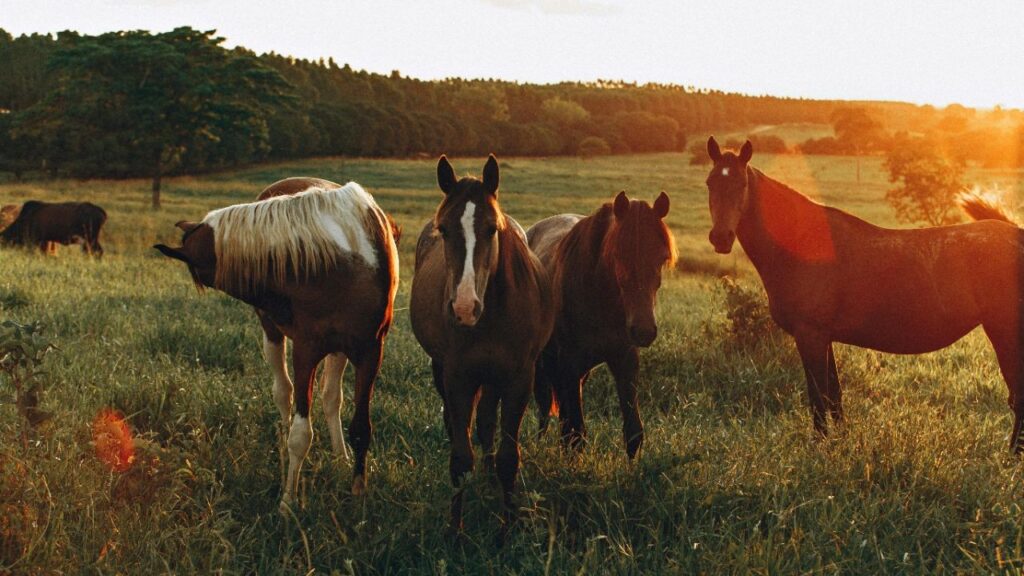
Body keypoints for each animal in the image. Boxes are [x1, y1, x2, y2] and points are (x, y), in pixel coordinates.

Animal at [154, 177, 400, 508]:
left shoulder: (370, 351)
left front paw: (358, 493)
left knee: (330, 397)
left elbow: (361, 427)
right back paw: (285, 451)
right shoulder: (305, 351)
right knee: (284, 393)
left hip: (339, 350)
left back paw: (339, 457)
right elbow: (300, 433)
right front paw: (288, 501)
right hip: (273, 336)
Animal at [409, 155, 554, 537]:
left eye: (492, 228)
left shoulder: (518, 379)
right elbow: (460, 458)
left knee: (488, 423)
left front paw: (507, 527)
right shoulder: (458, 377)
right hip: (445, 371)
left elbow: (508, 457)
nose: (463, 308)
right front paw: (455, 531)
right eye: (444, 229)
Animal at [528, 191, 675, 459]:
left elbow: (633, 431)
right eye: (618, 255)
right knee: (545, 408)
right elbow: (576, 433)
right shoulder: (569, 362)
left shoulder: (624, 360)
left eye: (662, 258)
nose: (644, 331)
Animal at [704, 136, 1024, 451]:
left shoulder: (810, 335)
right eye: (710, 183)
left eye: (742, 184)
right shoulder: (824, 337)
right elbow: (834, 396)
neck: (804, 244)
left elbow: (818, 397)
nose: (720, 238)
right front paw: (842, 442)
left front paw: (820, 446)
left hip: (1004, 332)